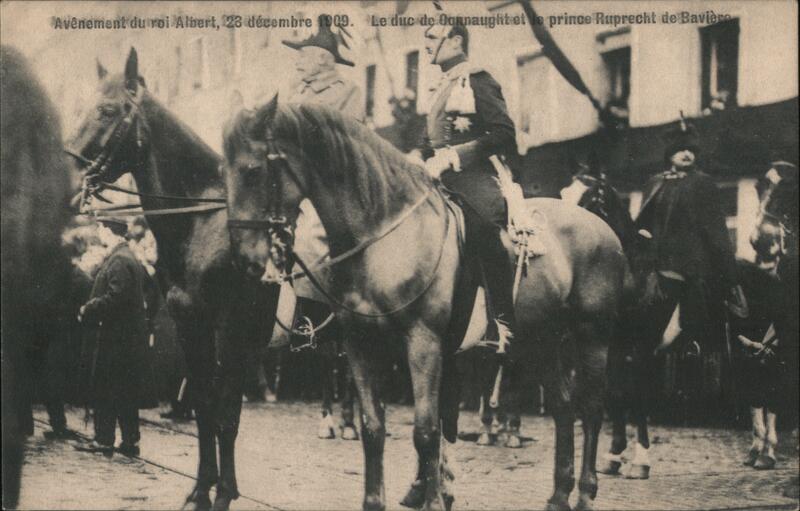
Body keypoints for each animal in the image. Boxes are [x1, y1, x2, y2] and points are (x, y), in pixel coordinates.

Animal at [66, 48, 280, 511]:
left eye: (107, 111)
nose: (69, 181)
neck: (203, 219)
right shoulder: (189, 322)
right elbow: (203, 406)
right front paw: (202, 489)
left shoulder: (230, 329)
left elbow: (226, 413)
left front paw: (223, 493)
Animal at [223, 97, 629, 511]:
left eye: (253, 170)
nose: (244, 257)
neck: (386, 236)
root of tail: (600, 228)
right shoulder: (362, 344)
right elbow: (374, 427)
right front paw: (381, 498)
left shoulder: (424, 343)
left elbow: (427, 429)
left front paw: (433, 497)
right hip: (540, 341)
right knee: (563, 407)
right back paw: (559, 495)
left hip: (592, 336)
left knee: (591, 409)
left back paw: (584, 493)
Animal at [561, 167, 656, 479]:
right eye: (563, 193)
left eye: (593, 198)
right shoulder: (608, 344)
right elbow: (615, 393)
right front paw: (613, 454)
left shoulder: (638, 347)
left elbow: (636, 393)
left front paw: (641, 460)